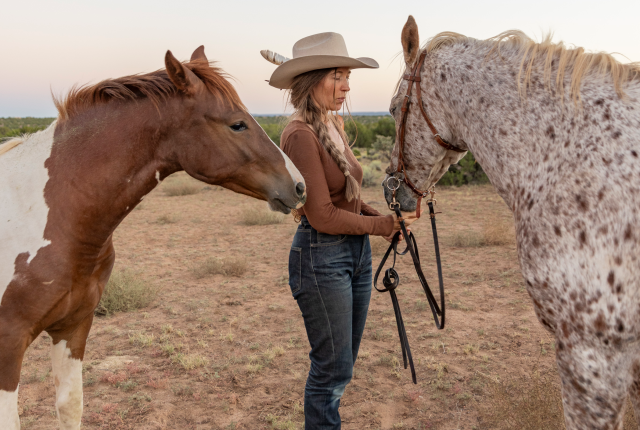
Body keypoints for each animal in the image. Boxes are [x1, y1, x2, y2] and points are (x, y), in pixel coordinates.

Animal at [0, 46, 306, 430]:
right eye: (237, 123)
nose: (299, 186)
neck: (53, 215)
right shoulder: (8, 344)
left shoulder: (73, 327)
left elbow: (70, 407)